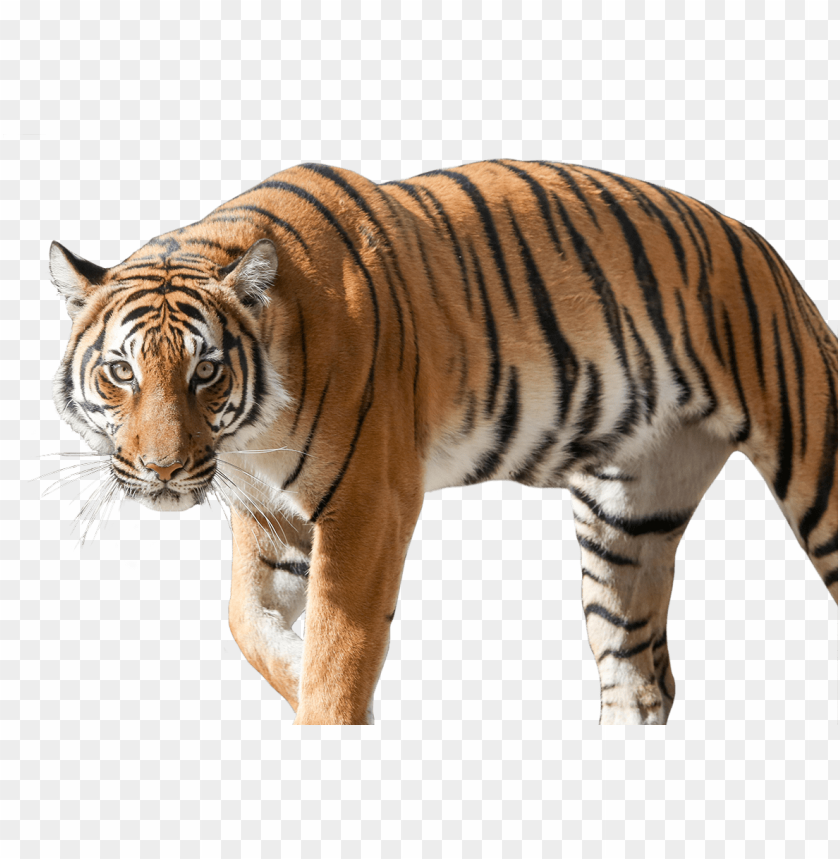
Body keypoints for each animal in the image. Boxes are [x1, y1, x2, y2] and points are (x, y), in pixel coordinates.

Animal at [49, 160, 838, 725]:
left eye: (206, 372)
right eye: (122, 371)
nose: (162, 469)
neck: (251, 436)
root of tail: (759, 243)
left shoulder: (368, 505)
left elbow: (340, 648)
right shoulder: (270, 518)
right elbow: (249, 623)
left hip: (816, 465)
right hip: (627, 520)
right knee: (641, 677)